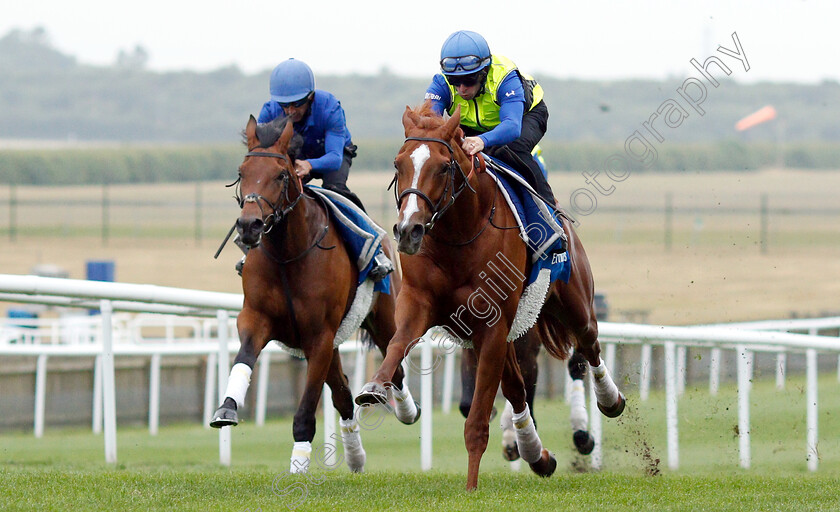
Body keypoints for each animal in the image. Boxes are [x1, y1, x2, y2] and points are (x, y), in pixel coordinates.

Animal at [210, 115, 420, 472]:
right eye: (242, 171)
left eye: (281, 175)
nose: (249, 225)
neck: (287, 256)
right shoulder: (256, 319)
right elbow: (244, 359)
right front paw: (226, 408)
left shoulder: (319, 335)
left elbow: (307, 405)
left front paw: (298, 464)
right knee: (343, 394)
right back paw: (355, 457)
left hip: (383, 318)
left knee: (397, 367)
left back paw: (406, 410)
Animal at [354, 103, 624, 488]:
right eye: (398, 164)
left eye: (444, 166)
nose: (408, 230)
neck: (458, 236)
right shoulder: (421, 304)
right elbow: (397, 343)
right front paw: (376, 387)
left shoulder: (493, 323)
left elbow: (478, 419)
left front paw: (470, 486)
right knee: (517, 389)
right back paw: (537, 456)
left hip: (573, 303)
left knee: (589, 346)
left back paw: (609, 401)